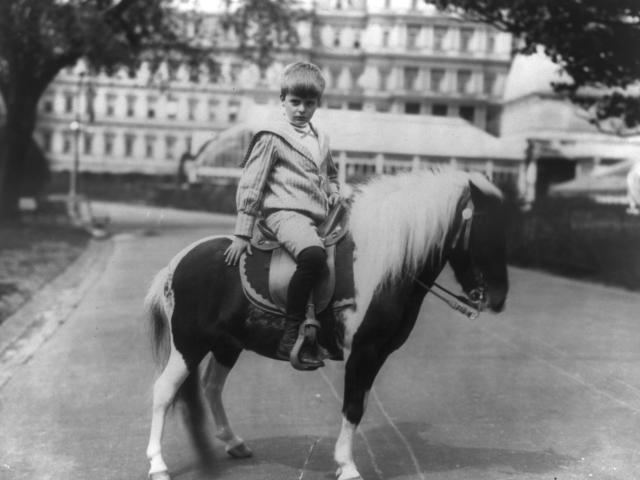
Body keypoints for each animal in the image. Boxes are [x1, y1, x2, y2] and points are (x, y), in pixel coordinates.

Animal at [142, 169, 508, 480]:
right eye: (483, 232)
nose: (499, 298)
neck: (381, 267)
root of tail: (177, 263)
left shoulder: (376, 355)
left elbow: (359, 406)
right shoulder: (362, 353)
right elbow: (353, 407)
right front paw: (347, 466)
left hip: (227, 344)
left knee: (211, 387)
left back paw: (234, 443)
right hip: (189, 344)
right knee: (163, 391)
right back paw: (158, 464)